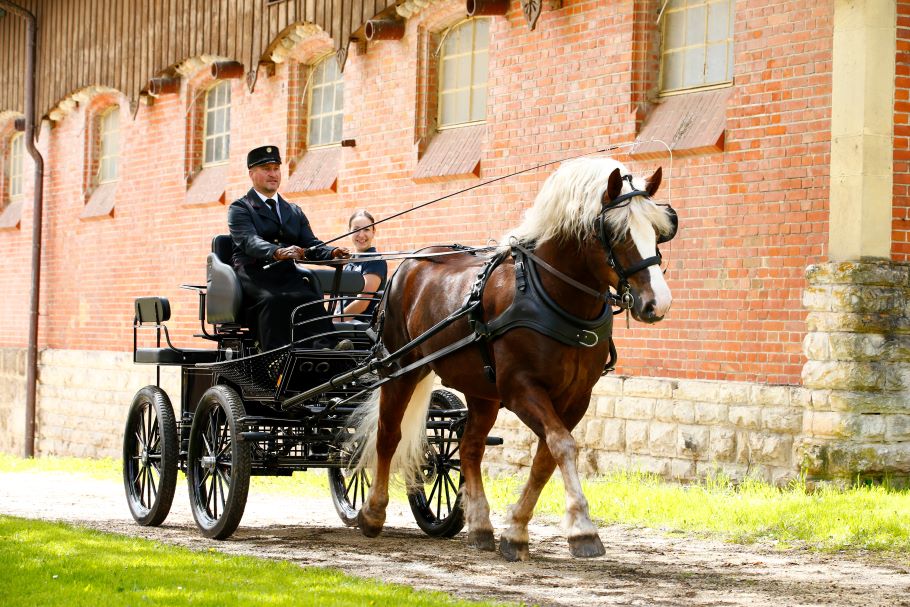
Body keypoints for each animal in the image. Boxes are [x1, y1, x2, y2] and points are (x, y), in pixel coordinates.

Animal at [350, 156, 676, 560]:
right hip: (400, 370)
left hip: (481, 391)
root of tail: (409, 264)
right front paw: (582, 527)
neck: (551, 296)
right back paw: (373, 512)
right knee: (388, 435)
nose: (657, 303)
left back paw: (479, 525)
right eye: (616, 233)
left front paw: (517, 529)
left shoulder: (576, 397)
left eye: (659, 230)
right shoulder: (521, 388)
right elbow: (562, 445)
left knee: (470, 447)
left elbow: (547, 455)